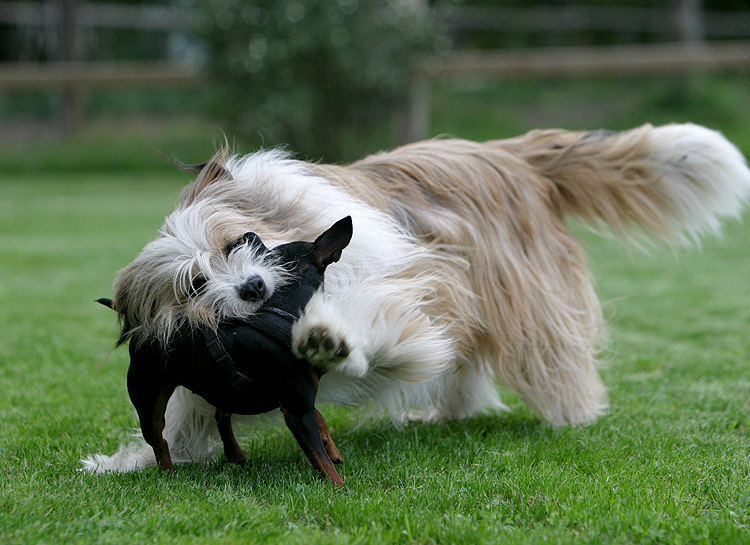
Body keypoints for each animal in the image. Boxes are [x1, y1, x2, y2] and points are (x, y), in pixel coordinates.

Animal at [99, 216, 352, 484]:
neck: (282, 309)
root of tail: (141, 324)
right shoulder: (297, 411)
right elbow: (321, 459)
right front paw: (338, 486)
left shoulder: (296, 401)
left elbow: (319, 419)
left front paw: (331, 448)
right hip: (148, 397)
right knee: (159, 440)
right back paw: (168, 473)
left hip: (223, 386)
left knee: (221, 416)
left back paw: (235, 454)